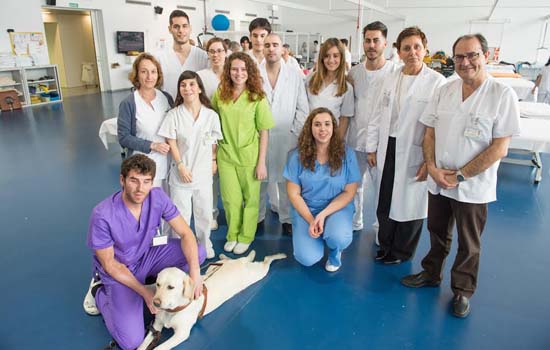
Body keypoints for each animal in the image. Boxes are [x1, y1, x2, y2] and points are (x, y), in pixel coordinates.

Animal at [137, 252, 286, 350]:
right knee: (230, 259)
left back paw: (279, 256)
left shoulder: (181, 333)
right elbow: (142, 344)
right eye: (157, 284)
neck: (172, 310)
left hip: (258, 272)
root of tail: (240, 263)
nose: (155, 303)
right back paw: (224, 256)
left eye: (171, 287)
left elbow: (159, 348)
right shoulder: (156, 326)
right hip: (214, 268)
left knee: (266, 260)